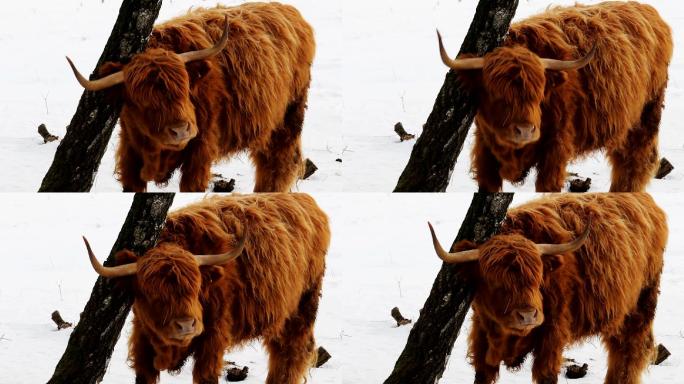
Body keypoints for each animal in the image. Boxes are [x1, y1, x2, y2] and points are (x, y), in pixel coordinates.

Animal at [69, 3, 316, 192]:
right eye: (140, 101)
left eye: (185, 90)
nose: (180, 130)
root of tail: (289, 11)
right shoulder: (130, 155)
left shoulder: (200, 153)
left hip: (289, 118)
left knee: (279, 164)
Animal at [84, 195, 330, 384]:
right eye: (150, 292)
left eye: (196, 288)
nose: (186, 325)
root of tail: (307, 202)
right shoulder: (142, 340)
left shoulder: (213, 339)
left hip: (303, 307)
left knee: (292, 353)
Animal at [430, 195, 664, 384]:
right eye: (493, 281)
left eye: (538, 278)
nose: (527, 315)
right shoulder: (482, 337)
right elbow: (483, 375)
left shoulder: (552, 337)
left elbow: (547, 375)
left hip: (641, 305)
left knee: (629, 353)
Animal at [438, 1, 672, 190]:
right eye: (495, 93)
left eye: (539, 94)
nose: (525, 131)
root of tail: (647, 11)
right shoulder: (485, 150)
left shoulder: (556, 149)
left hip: (646, 116)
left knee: (634, 163)